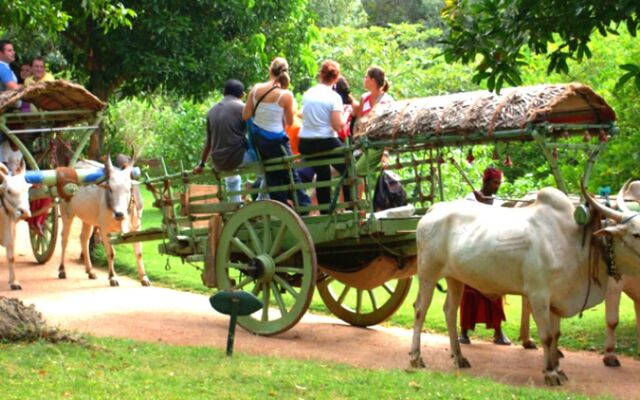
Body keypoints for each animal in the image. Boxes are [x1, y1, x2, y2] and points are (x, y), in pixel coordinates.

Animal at [58, 156, 149, 288]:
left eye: (129, 189)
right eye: (110, 188)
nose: (119, 214)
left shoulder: (136, 228)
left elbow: (139, 253)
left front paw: (144, 278)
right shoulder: (104, 229)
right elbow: (111, 253)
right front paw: (112, 277)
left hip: (88, 219)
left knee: (84, 238)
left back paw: (90, 271)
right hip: (67, 214)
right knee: (64, 239)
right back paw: (62, 270)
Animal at [412, 181, 640, 384]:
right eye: (636, 233)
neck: (575, 241)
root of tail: (434, 209)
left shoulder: (556, 299)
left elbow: (556, 335)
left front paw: (558, 368)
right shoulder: (539, 296)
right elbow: (546, 336)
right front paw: (550, 373)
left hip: (455, 278)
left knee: (450, 312)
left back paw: (459, 357)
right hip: (427, 273)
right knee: (420, 310)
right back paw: (416, 358)